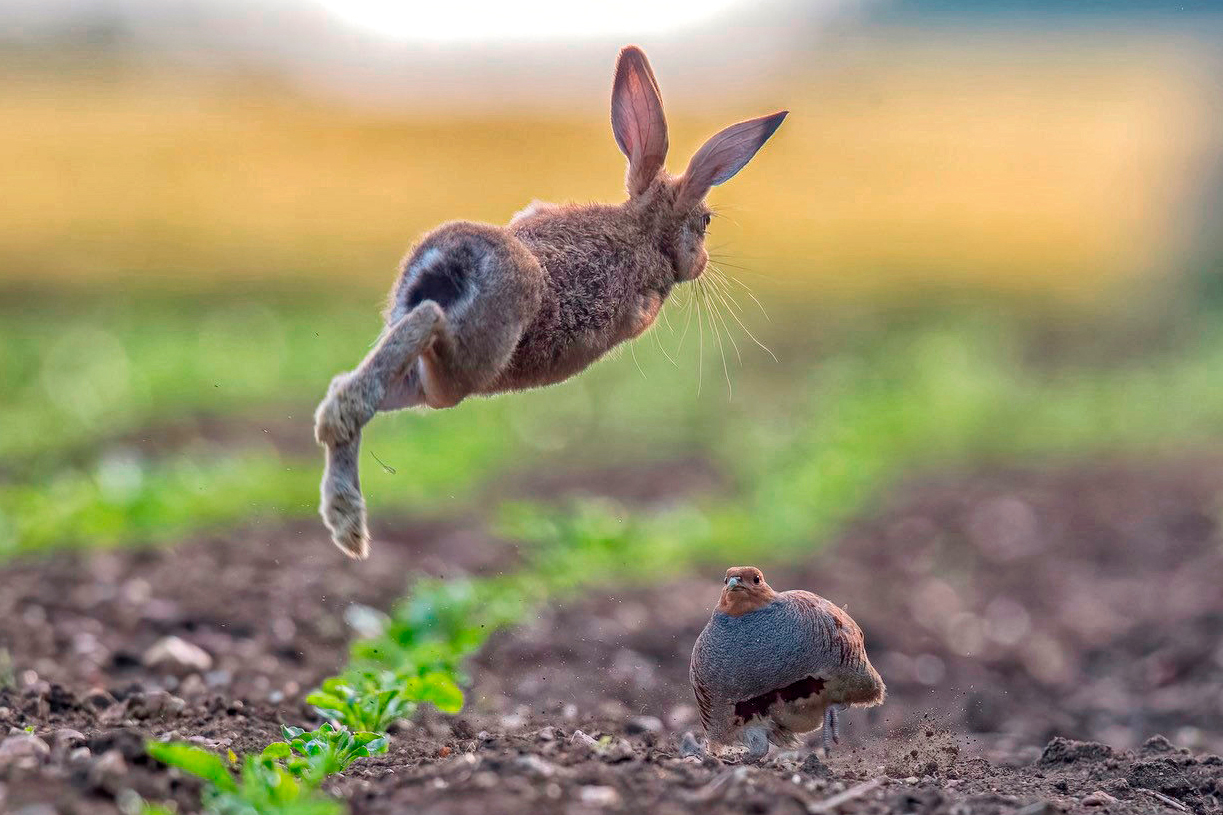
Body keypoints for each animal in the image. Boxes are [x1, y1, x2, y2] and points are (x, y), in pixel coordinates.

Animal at [313, 45, 782, 558]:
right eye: (706, 222)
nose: (701, 263)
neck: (644, 228)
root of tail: (453, 262)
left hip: (417, 365)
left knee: (352, 388)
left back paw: (345, 517)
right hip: (465, 367)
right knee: (424, 338)